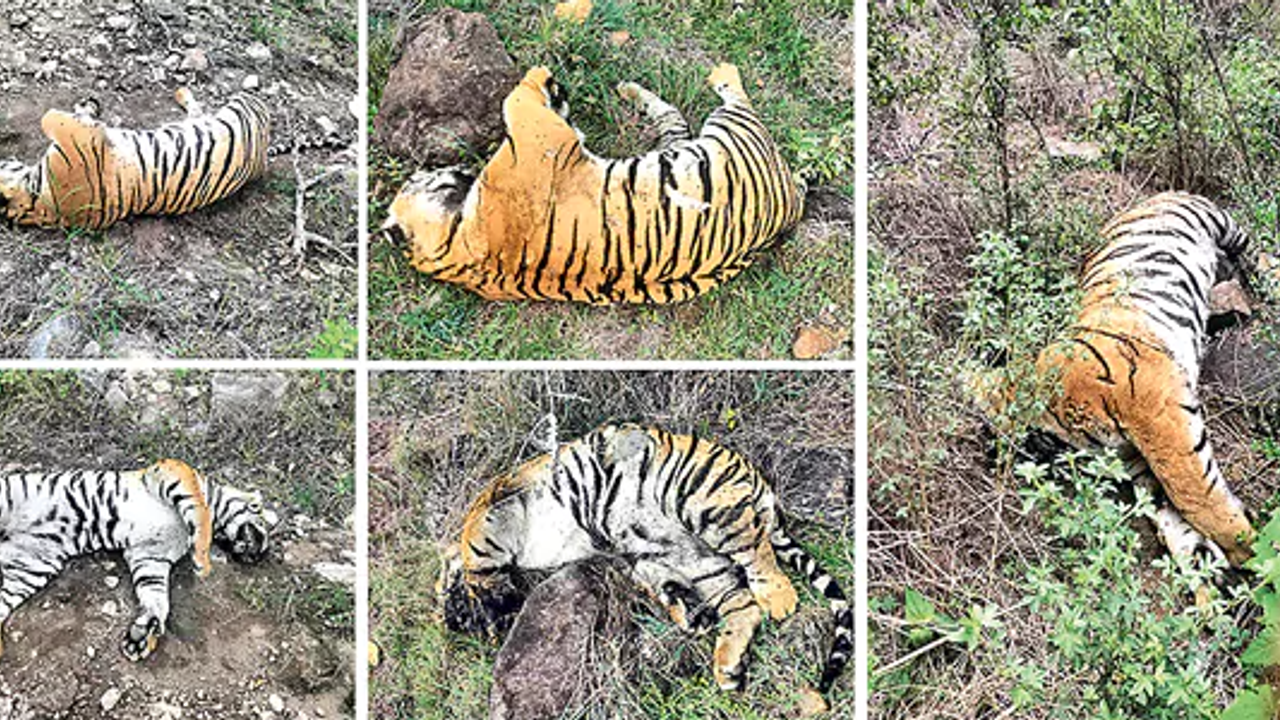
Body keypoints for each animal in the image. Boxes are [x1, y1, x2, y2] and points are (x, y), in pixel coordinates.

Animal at [0, 87, 270, 231]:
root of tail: (263, 159)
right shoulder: (81, 137)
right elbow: (50, 116)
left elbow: (51, 116)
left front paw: (88, 106)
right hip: (240, 107)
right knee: (206, 110)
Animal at [0, 458, 274, 660]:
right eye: (260, 514)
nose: (258, 556)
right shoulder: (172, 472)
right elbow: (199, 512)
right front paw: (202, 562)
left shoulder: (151, 556)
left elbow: (155, 595)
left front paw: (142, 634)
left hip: (29, 568)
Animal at [383, 63, 804, 304]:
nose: (455, 168)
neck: (456, 250)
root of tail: (789, 204)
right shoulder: (541, 139)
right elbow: (517, 99)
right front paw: (542, 76)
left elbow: (531, 104)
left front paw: (555, 89)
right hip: (730, 131)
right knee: (734, 96)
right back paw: (719, 70)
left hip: (685, 145)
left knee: (672, 117)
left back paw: (627, 88)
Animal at [437, 422, 851, 708]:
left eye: (441, 601)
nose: (447, 623)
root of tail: (755, 477)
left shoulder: (495, 502)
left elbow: (473, 547)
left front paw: (480, 595)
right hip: (689, 558)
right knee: (740, 605)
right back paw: (723, 663)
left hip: (704, 501)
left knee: (756, 550)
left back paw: (779, 600)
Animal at [975, 192, 1258, 567]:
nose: (992, 458)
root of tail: (1152, 196)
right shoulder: (1136, 459)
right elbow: (1168, 507)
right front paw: (1204, 565)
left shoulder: (1159, 418)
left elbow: (1192, 494)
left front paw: (1251, 551)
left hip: (1215, 220)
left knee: (1255, 249)